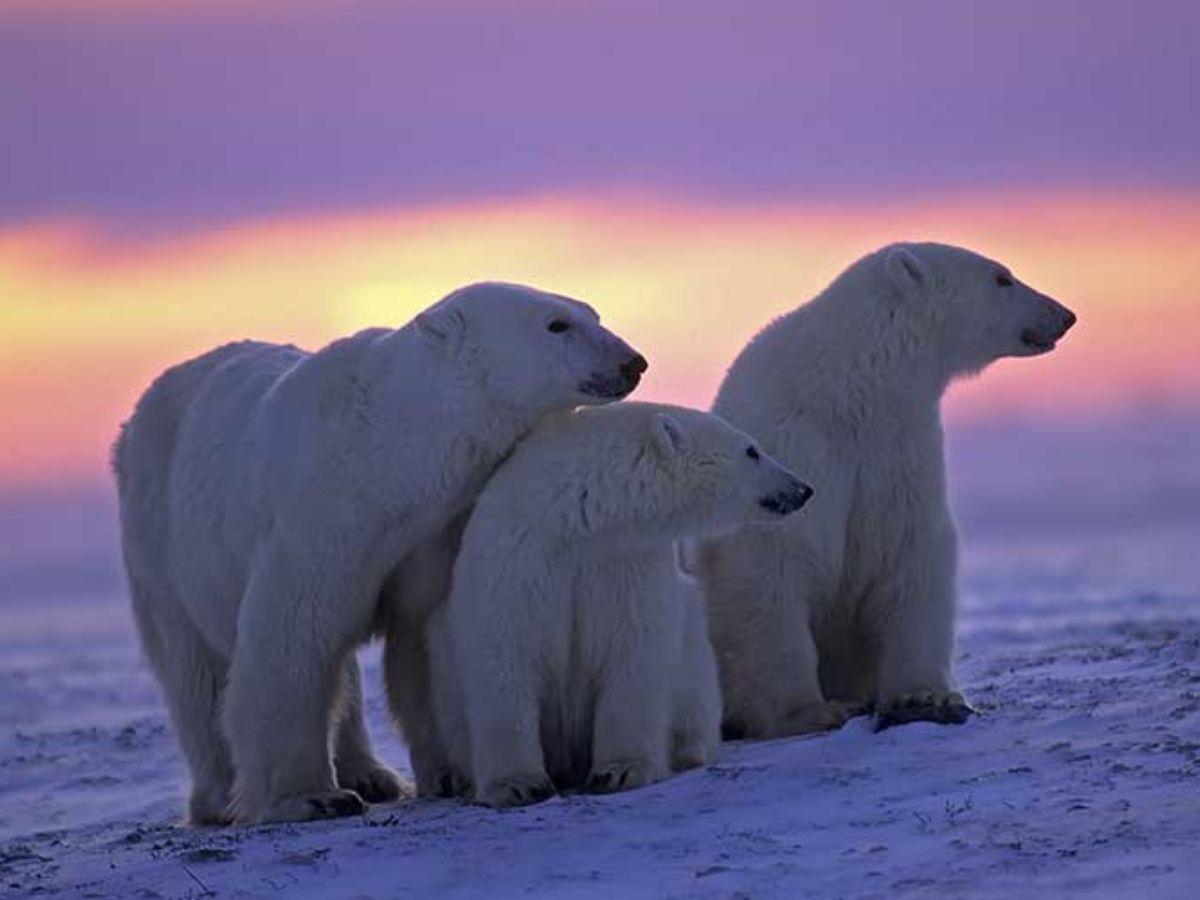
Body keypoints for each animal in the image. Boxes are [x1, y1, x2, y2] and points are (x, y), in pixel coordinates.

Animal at [112, 281, 646, 825]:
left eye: (592, 312)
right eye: (557, 324)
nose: (633, 363)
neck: (387, 457)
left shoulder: (432, 531)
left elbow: (423, 636)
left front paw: (450, 773)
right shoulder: (319, 517)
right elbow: (290, 636)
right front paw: (311, 797)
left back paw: (371, 775)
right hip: (162, 542)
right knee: (195, 670)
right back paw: (220, 799)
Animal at [423, 401, 813, 808]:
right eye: (752, 450)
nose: (802, 489)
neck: (578, 518)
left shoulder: (626, 562)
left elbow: (634, 652)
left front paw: (620, 771)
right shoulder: (518, 558)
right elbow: (503, 656)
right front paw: (517, 785)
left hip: (693, 651)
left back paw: (688, 749)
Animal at [698, 242, 1077, 738]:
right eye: (1001, 277)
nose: (1065, 314)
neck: (849, 394)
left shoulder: (899, 452)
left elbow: (911, 554)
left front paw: (926, 697)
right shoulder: (794, 448)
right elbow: (771, 568)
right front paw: (810, 711)